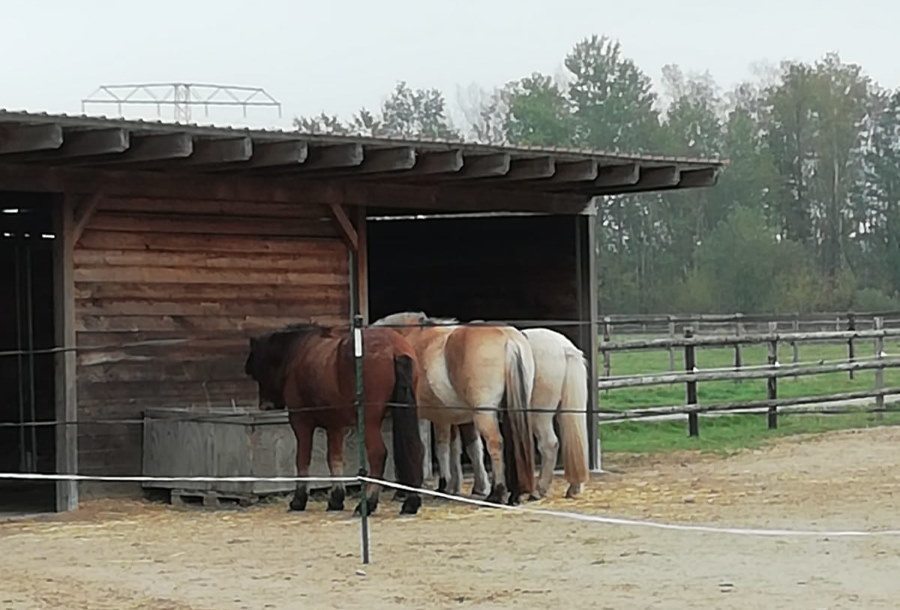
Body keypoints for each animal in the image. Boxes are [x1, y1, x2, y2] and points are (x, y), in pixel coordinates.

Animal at [243, 324, 426, 512]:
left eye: (257, 371)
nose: (265, 405)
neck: (298, 352)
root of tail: (394, 348)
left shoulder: (301, 422)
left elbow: (302, 459)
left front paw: (299, 500)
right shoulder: (335, 426)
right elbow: (334, 458)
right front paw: (336, 499)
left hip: (369, 423)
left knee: (378, 454)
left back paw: (368, 502)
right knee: (415, 450)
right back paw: (411, 502)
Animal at [370, 312, 536, 502]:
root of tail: (509, 339)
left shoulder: (426, 416)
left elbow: (429, 447)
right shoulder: (447, 417)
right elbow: (452, 447)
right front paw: (450, 486)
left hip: (484, 415)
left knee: (495, 443)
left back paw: (497, 493)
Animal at [450, 328, 592, 498]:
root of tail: (564, 347)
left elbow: (465, 448)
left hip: (538, 415)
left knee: (549, 444)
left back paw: (538, 490)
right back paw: (574, 488)